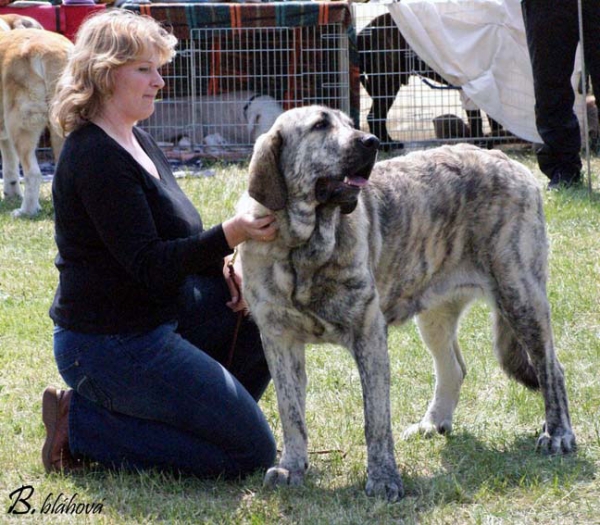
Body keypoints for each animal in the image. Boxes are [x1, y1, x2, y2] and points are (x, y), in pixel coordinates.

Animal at [239, 103, 576, 500]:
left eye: (350, 124)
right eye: (320, 125)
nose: (371, 140)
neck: (302, 249)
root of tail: (505, 159)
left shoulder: (368, 336)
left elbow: (375, 420)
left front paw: (384, 479)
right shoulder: (280, 340)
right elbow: (291, 411)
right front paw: (291, 467)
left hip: (520, 294)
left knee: (551, 368)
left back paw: (558, 434)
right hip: (435, 316)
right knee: (454, 367)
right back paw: (434, 423)